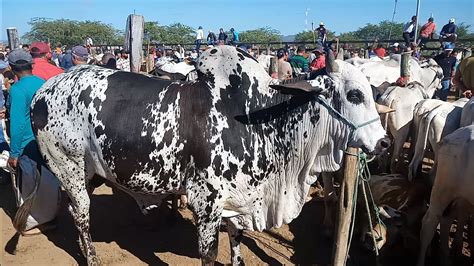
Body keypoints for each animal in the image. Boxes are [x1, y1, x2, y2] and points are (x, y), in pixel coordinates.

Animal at [30, 45, 388, 264]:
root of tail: (43, 92)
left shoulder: (238, 203)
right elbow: (209, 255)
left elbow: (237, 246)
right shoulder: (206, 205)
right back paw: (91, 257)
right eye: (355, 95)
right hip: (68, 167)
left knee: (77, 213)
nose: (384, 143)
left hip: (89, 172)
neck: (257, 117)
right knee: (82, 216)